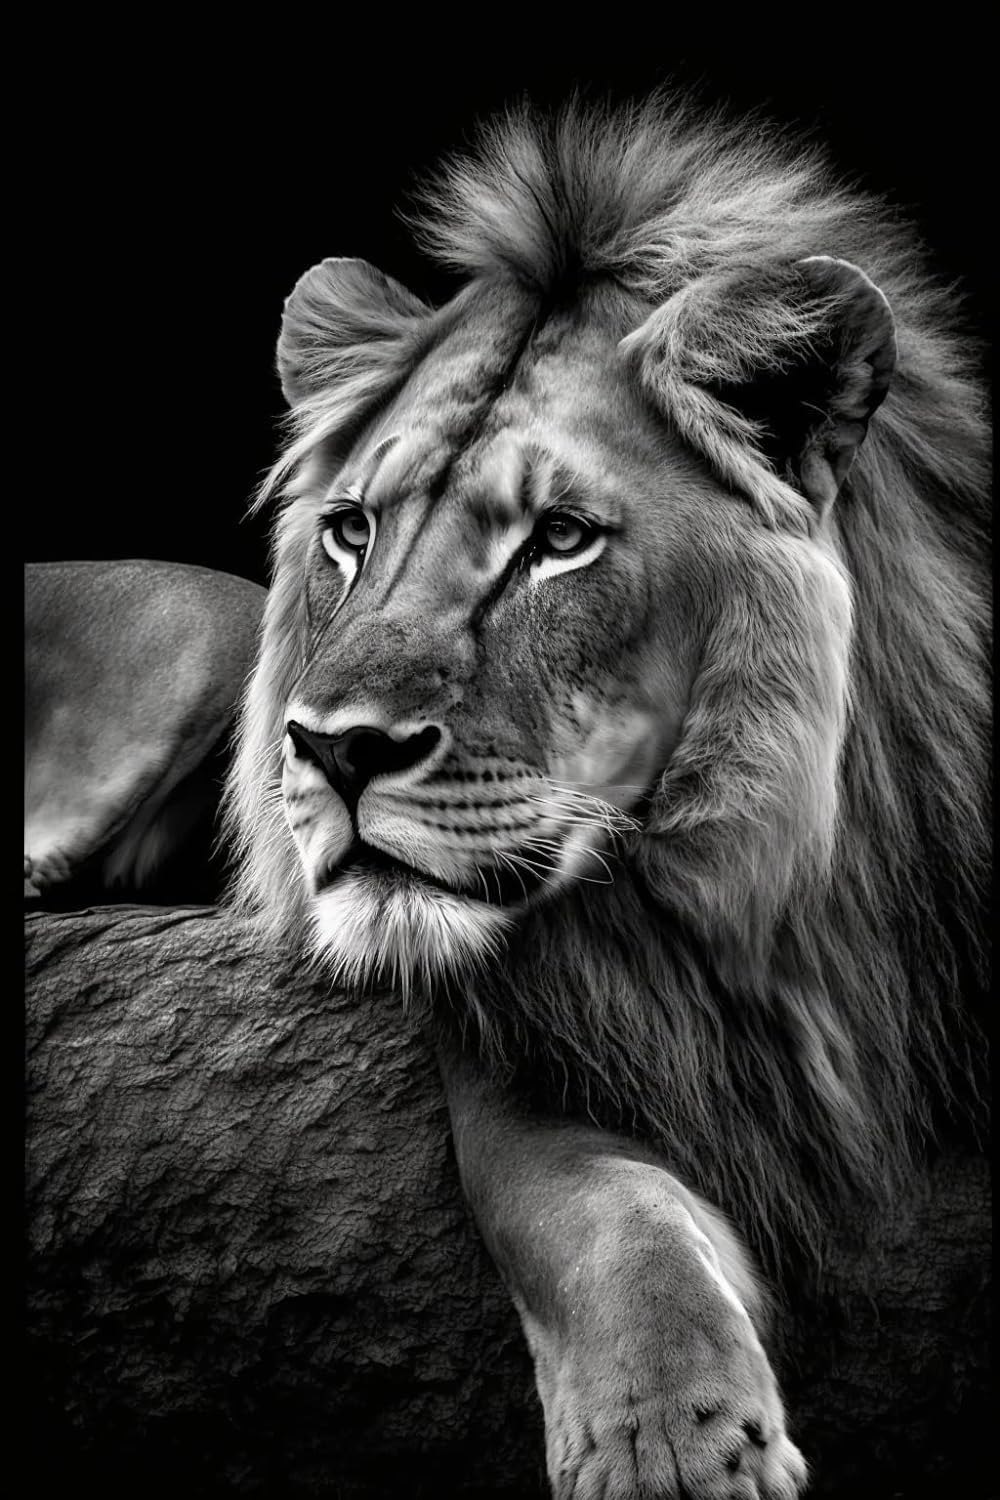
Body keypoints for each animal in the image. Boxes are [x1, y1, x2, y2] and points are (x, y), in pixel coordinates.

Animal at [225, 97, 989, 1498]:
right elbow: (605, 1221)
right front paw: (669, 1445)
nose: (334, 750)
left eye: (559, 541)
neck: (754, 920)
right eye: (352, 530)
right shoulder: (535, 1063)